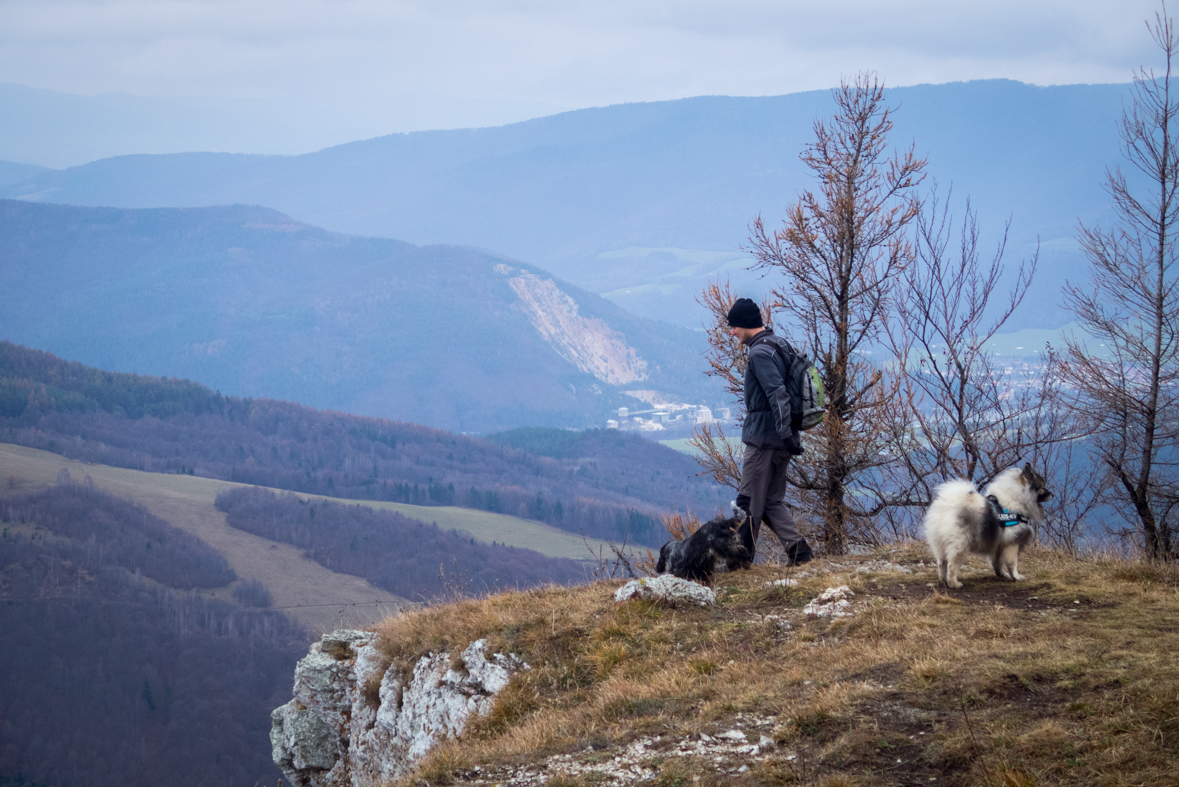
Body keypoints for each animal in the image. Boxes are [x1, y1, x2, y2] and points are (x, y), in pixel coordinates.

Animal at [924, 464, 1056, 586]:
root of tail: (947, 506)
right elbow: (1012, 563)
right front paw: (1016, 576)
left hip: (940, 544)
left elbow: (998, 562)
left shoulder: (999, 544)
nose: (1053, 495)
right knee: (951, 565)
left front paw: (1002, 574)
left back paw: (943, 580)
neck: (1017, 498)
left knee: (942, 563)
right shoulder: (1012, 543)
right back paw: (954, 583)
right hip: (960, 545)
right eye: (1042, 487)